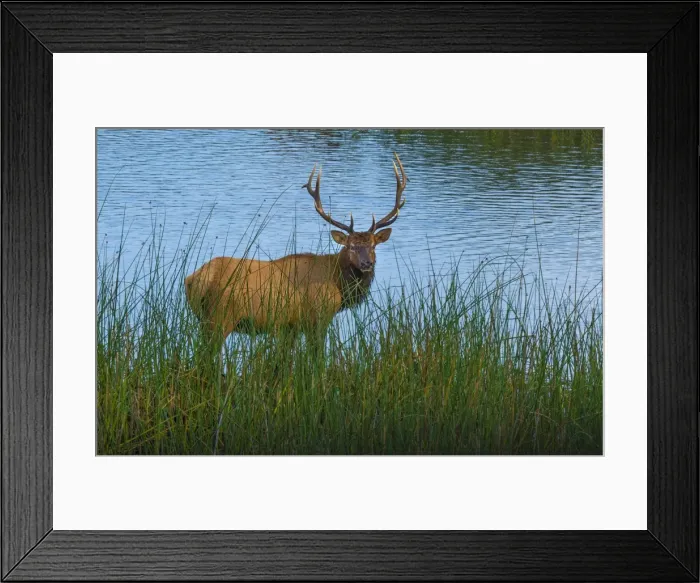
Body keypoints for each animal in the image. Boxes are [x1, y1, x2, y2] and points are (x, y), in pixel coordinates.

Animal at [184, 152, 408, 352]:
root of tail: (194, 279)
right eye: (351, 246)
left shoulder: (290, 326)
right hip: (221, 316)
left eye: (373, 245)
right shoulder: (319, 316)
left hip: (204, 319)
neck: (337, 282)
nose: (366, 264)